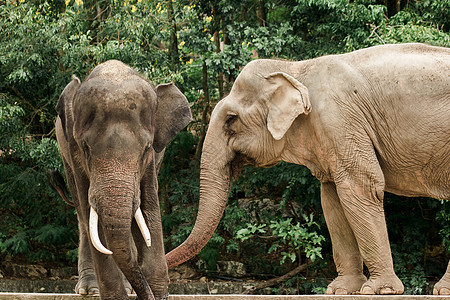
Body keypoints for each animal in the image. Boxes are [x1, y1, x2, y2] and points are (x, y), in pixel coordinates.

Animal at [55, 60, 191, 300]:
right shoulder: (73, 150)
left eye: (146, 148)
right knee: (83, 218)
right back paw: (90, 288)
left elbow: (149, 211)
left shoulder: (151, 163)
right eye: (85, 148)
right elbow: (93, 220)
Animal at [165, 44, 450, 296]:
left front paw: (380, 290)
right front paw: (339, 290)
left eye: (231, 120)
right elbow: (332, 198)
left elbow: (362, 185)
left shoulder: (340, 120)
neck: (294, 68)